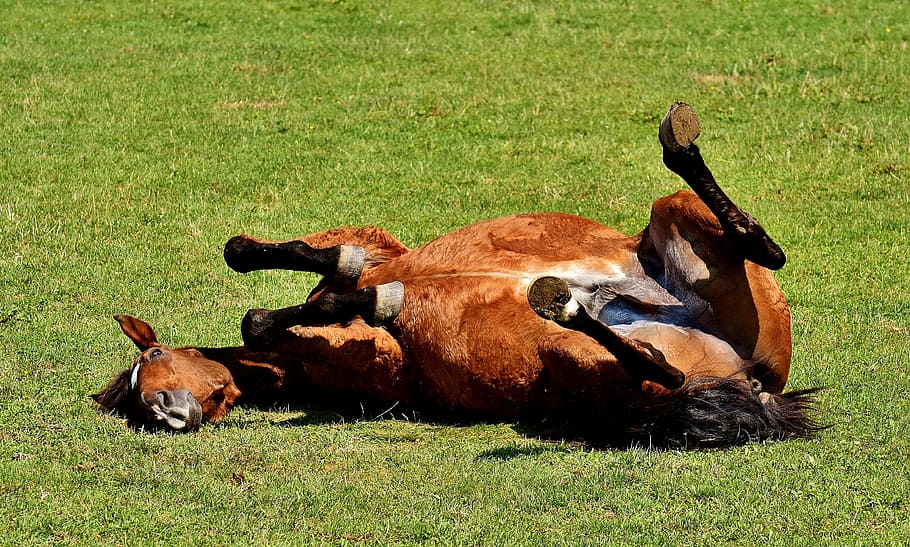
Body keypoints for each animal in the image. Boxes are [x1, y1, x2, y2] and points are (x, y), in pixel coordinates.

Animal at [93, 103, 820, 448]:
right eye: (132, 399)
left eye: (152, 357)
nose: (165, 412)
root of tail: (757, 382)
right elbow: (304, 306)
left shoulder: (372, 248)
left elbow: (299, 274)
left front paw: (323, 283)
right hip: (590, 360)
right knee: (658, 364)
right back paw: (568, 302)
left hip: (672, 222)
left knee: (759, 247)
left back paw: (678, 146)